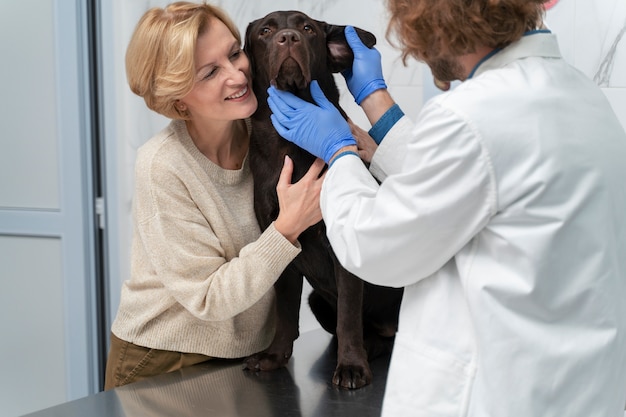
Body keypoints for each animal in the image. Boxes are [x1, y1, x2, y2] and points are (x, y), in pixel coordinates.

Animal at [241, 11, 402, 388]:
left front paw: (352, 366)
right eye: (265, 31)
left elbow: (348, 314)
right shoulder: (279, 237)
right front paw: (273, 356)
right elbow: (285, 308)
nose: (288, 38)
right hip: (316, 299)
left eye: (307, 29)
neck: (289, 144)